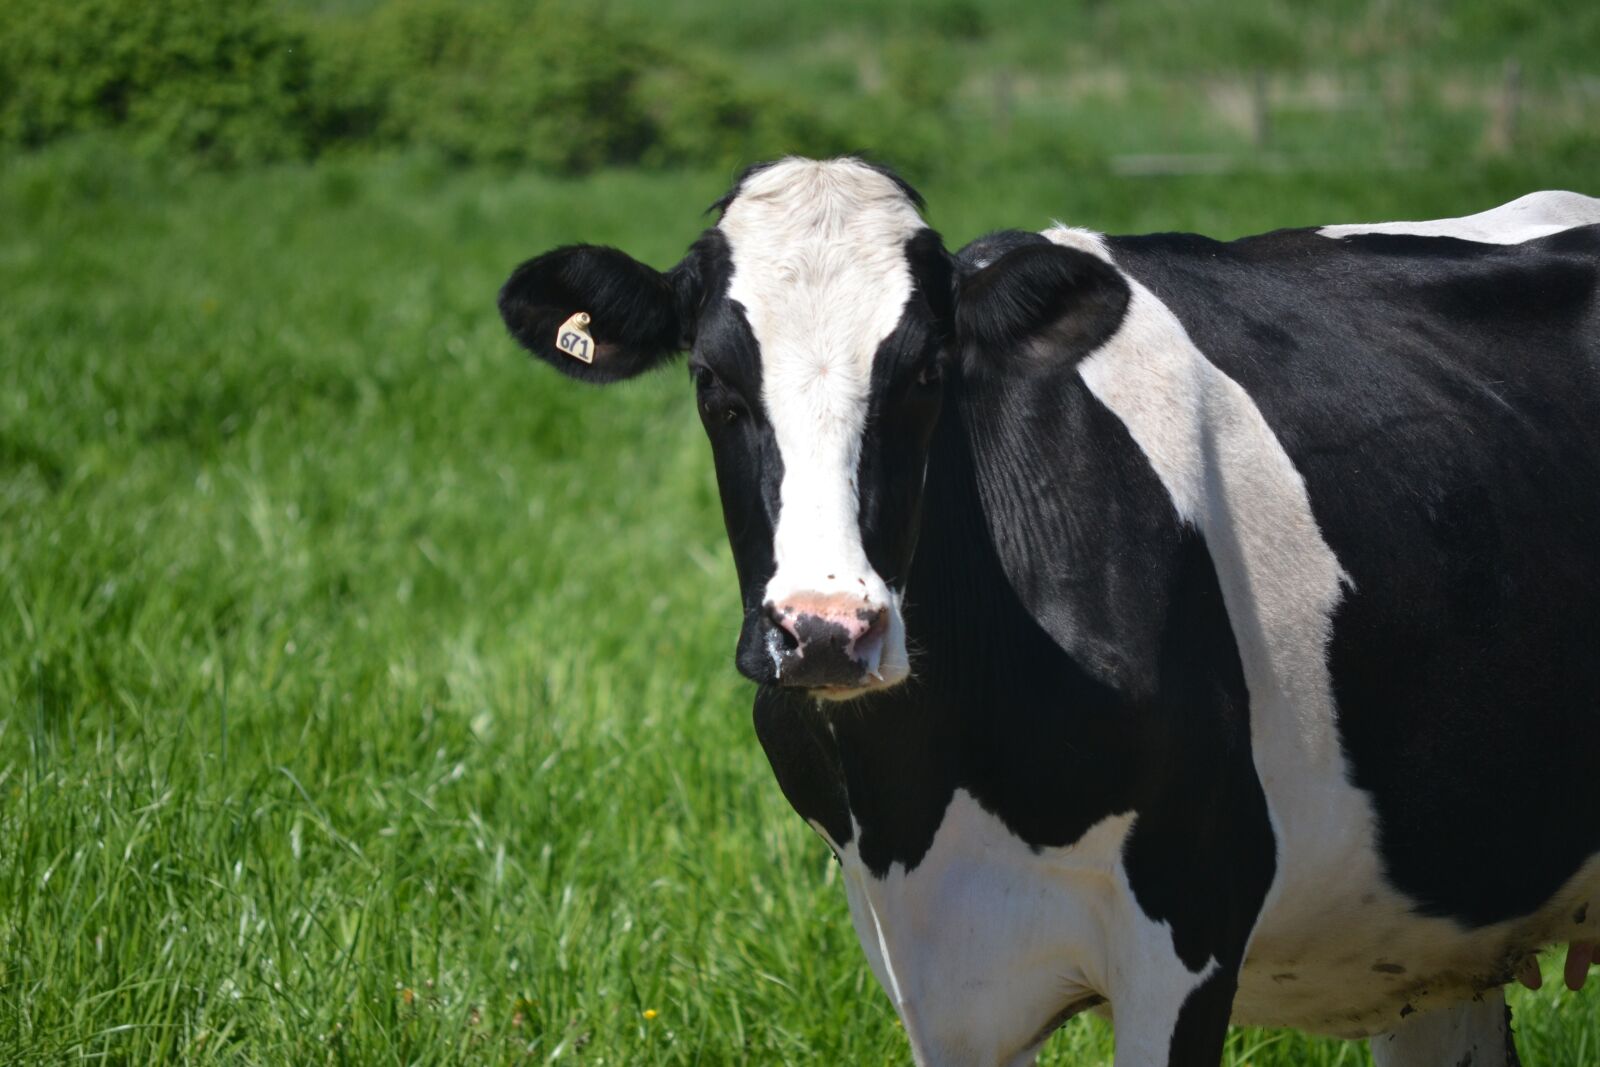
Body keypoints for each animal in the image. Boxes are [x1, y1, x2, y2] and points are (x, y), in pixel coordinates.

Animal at [497, 157, 1600, 1066]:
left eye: (928, 373)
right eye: (711, 382)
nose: (824, 630)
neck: (923, 783)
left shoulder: (1192, 918)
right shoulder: (928, 963)